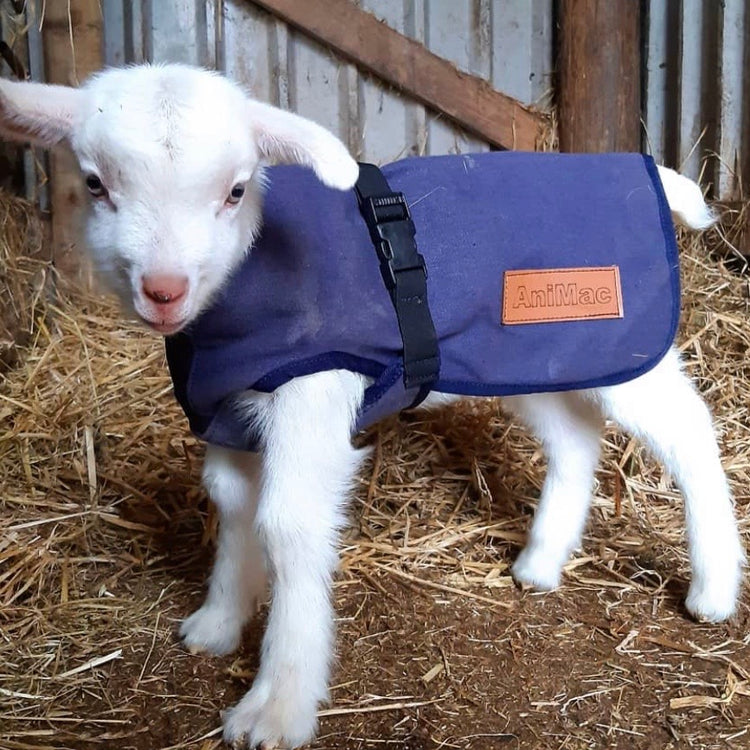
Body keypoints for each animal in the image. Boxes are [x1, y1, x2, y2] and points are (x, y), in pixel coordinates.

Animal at [0, 64, 743, 750]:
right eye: (96, 183)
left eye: (235, 190)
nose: (163, 290)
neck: (238, 299)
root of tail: (653, 175)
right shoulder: (227, 411)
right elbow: (232, 505)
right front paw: (217, 623)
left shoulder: (315, 388)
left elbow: (287, 525)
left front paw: (277, 705)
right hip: (531, 355)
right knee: (576, 436)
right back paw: (539, 564)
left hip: (623, 342)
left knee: (690, 430)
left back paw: (712, 589)